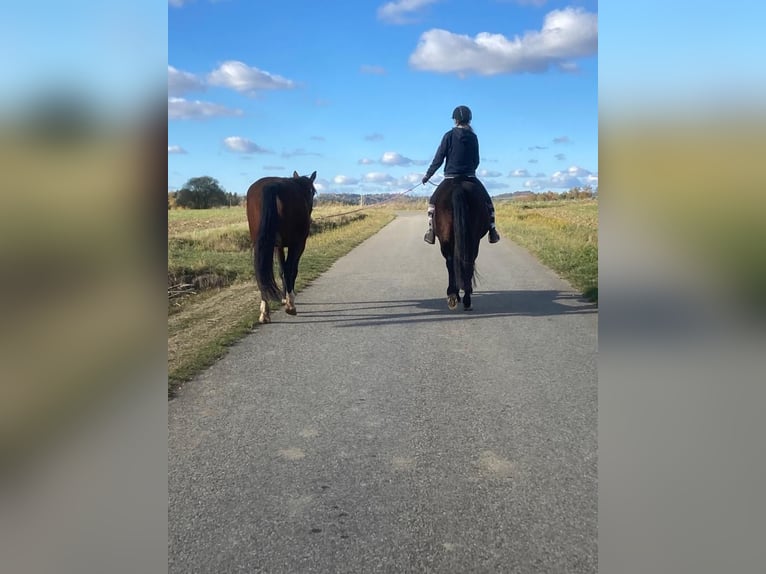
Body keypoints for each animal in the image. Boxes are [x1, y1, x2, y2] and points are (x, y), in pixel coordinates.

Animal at [248, 170, 316, 324]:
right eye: (313, 192)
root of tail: (273, 185)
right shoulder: (298, 245)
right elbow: (290, 270)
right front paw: (288, 300)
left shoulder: (277, 246)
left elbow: (280, 270)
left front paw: (284, 298)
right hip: (295, 244)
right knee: (288, 269)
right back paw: (291, 306)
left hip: (260, 243)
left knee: (261, 273)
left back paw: (264, 312)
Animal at [432, 178, 492, 312]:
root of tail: (458, 187)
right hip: (472, 239)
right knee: (464, 261)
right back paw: (465, 298)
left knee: (452, 263)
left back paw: (454, 296)